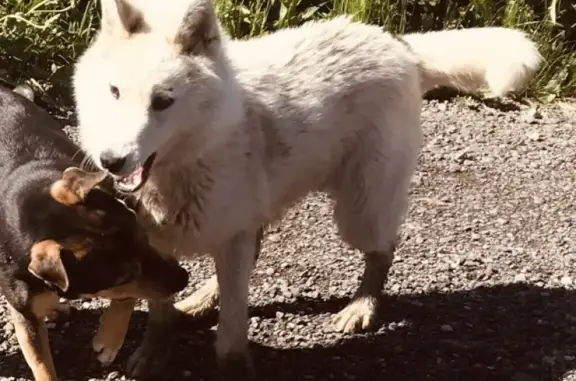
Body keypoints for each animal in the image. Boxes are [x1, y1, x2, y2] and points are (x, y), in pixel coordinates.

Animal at [0, 84, 189, 380]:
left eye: (143, 236)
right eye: (123, 274)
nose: (184, 278)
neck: (32, 205)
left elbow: (127, 298)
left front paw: (109, 340)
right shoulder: (25, 316)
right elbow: (42, 364)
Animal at [71, 0, 540, 378]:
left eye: (163, 101)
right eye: (114, 92)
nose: (111, 161)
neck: (181, 169)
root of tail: (396, 44)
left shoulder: (230, 238)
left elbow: (232, 330)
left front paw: (234, 370)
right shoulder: (162, 244)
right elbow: (161, 312)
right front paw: (154, 354)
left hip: (359, 210)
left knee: (383, 249)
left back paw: (361, 307)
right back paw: (203, 299)